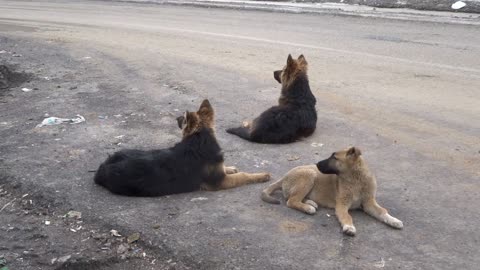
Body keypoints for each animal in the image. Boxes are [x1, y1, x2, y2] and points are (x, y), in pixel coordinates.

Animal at [94, 99, 270, 196]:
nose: (177, 118)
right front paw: (261, 175)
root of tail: (102, 168)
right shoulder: (220, 182)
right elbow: (244, 176)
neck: (199, 138)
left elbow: (227, 168)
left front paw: (231, 167)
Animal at [260, 148, 404, 236]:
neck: (356, 180)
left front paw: (393, 220)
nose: (317, 163)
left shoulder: (369, 203)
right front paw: (349, 227)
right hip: (310, 174)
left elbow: (382, 211)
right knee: (291, 200)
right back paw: (308, 208)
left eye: (334, 157)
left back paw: (311, 203)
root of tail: (284, 177)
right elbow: (347, 216)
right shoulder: (342, 205)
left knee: (294, 197)